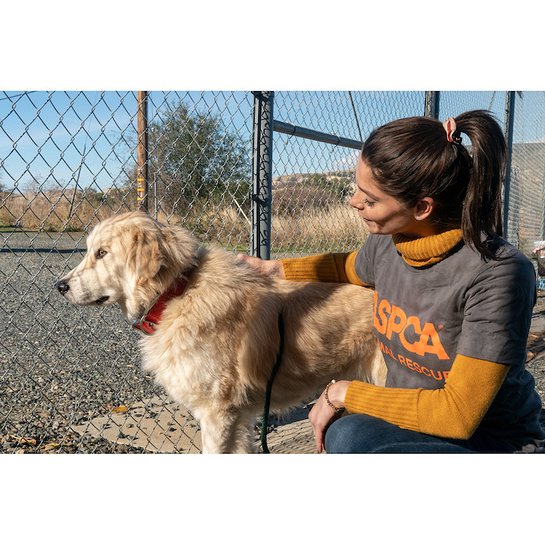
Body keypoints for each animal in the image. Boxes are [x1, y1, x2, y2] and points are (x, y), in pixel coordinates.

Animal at [57, 210, 384, 452]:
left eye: (102, 253)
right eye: (89, 250)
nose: (60, 286)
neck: (177, 293)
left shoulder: (218, 414)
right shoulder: (239, 420)